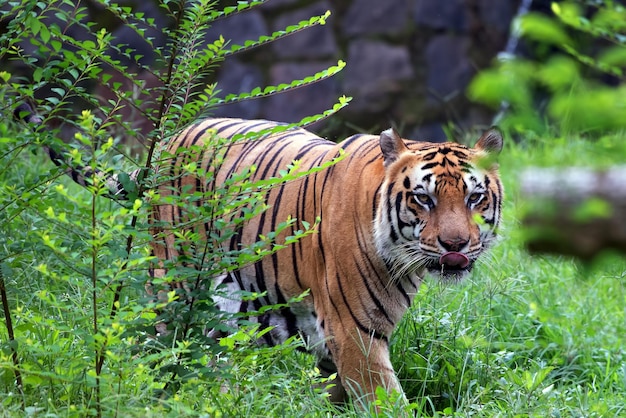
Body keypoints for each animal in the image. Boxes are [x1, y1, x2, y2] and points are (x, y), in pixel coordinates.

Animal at [15, 103, 502, 404]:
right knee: (160, 350)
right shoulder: (355, 333)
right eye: (423, 199)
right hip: (172, 287)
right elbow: (386, 400)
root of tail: (168, 143)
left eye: (475, 198)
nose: (456, 245)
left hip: (232, 307)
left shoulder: (333, 340)